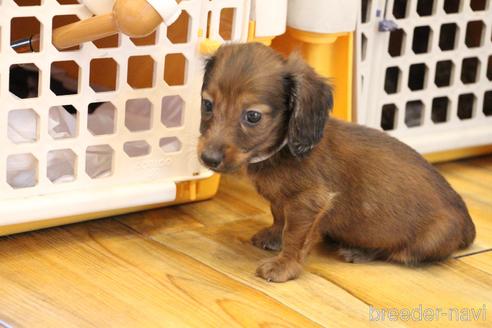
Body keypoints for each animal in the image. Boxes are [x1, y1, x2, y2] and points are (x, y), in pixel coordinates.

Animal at [197, 43, 476, 282]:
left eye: (253, 116)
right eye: (207, 104)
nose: (208, 158)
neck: (283, 148)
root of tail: (467, 223)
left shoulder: (309, 202)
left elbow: (295, 236)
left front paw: (284, 266)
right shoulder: (283, 201)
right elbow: (279, 216)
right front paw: (274, 236)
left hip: (426, 240)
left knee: (397, 252)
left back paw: (359, 251)